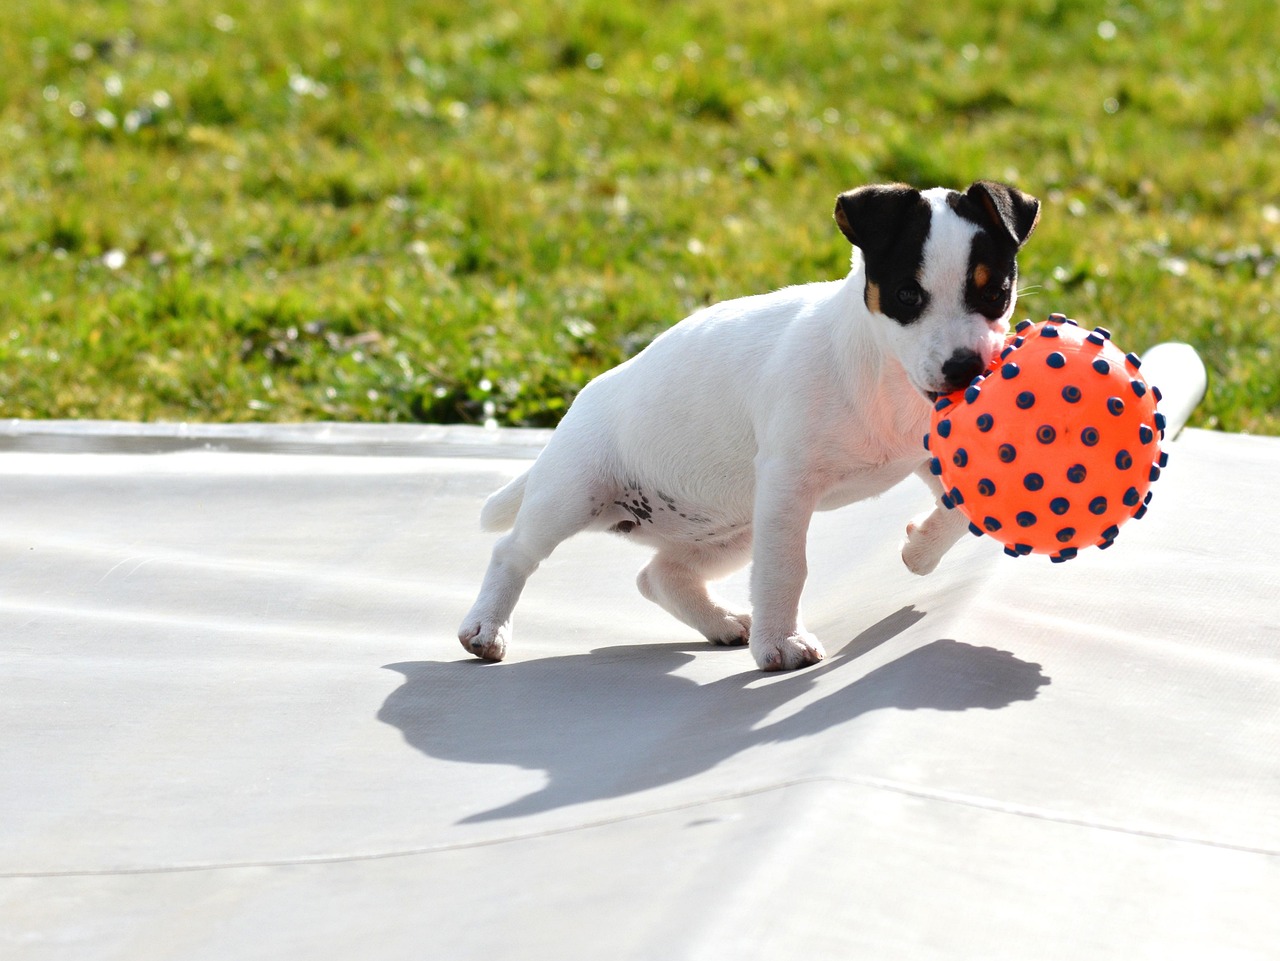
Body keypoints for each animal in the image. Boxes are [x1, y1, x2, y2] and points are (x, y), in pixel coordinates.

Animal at [460, 184, 1039, 670]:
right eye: (906, 295)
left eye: (995, 292)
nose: (967, 369)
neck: (882, 371)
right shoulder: (787, 484)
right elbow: (786, 569)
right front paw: (782, 643)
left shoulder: (926, 456)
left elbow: (963, 513)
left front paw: (918, 551)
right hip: (572, 496)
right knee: (512, 552)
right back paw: (486, 629)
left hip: (732, 526)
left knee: (659, 576)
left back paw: (723, 622)